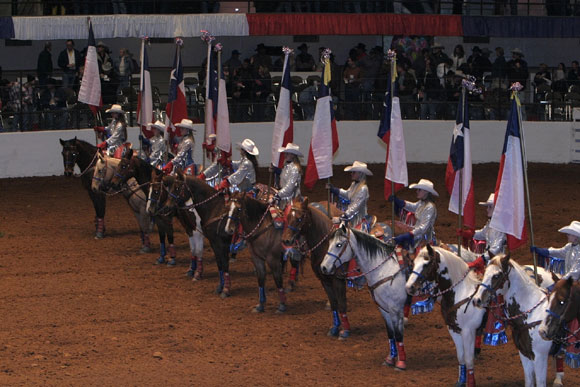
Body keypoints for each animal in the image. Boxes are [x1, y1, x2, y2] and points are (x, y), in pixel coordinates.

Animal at [280, 199, 354, 338]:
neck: (325, 247)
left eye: (299, 218)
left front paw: (346, 330)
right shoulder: (324, 280)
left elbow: (342, 304)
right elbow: (334, 304)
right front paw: (334, 328)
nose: (286, 240)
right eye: (287, 217)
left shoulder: (338, 280)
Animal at [322, 226, 408, 372]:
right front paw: (390, 359)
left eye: (339, 245)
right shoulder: (384, 309)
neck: (384, 269)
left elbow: (398, 334)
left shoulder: (395, 309)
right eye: (329, 243)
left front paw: (401, 363)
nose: (323, 267)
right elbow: (390, 333)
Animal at [408, 246, 484, 387]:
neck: (461, 292)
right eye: (413, 263)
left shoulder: (468, 332)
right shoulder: (453, 329)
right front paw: (461, 381)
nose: (409, 287)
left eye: (426, 264)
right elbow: (461, 356)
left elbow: (469, 359)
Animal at [474, 255, 564, 387]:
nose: (477, 299)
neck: (531, 313)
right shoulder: (525, 354)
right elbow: (529, 381)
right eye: (485, 272)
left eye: (497, 275)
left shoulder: (540, 357)